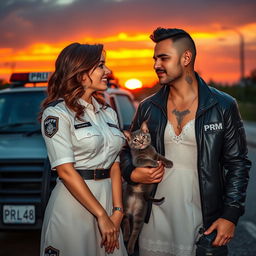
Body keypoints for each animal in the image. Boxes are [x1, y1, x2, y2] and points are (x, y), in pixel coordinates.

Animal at [121, 121, 172, 255]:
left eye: (144, 136)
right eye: (135, 140)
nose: (141, 142)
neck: (146, 150)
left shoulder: (156, 154)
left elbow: (161, 157)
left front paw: (169, 162)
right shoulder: (137, 160)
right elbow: (146, 160)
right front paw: (153, 164)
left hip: (140, 213)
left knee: (134, 230)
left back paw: (130, 245)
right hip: (125, 203)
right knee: (125, 220)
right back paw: (127, 237)